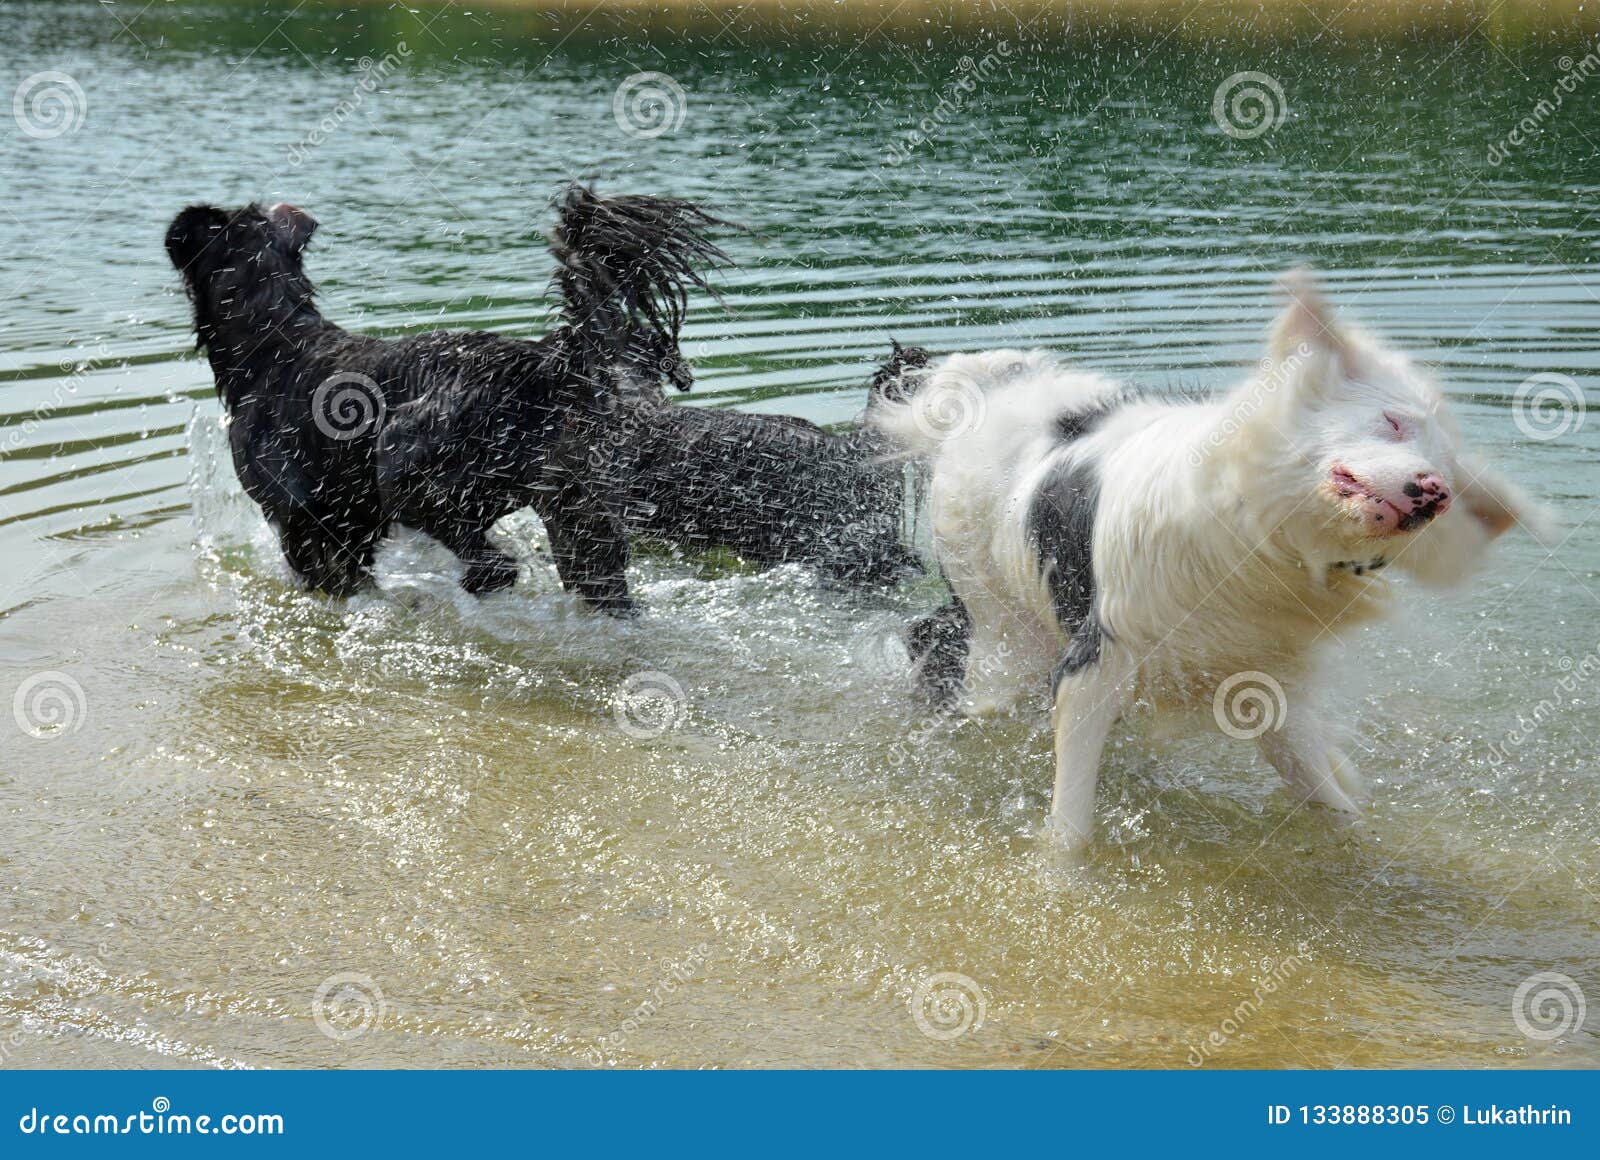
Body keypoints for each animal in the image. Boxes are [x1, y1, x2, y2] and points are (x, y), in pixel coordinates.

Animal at [164, 183, 726, 604]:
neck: (275, 338)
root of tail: (548, 363)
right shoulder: (351, 529)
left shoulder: (302, 525)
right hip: (580, 515)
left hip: (405, 469)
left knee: (495, 566)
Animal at [876, 272, 1548, 851]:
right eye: (1393, 421)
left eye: (1453, 473)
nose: (1436, 492)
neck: (1257, 538)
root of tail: (981, 380)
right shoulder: (1100, 654)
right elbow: (1072, 820)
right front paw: (1061, 876)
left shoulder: (1266, 670)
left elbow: (1325, 795)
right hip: (1000, 625)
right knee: (951, 649)